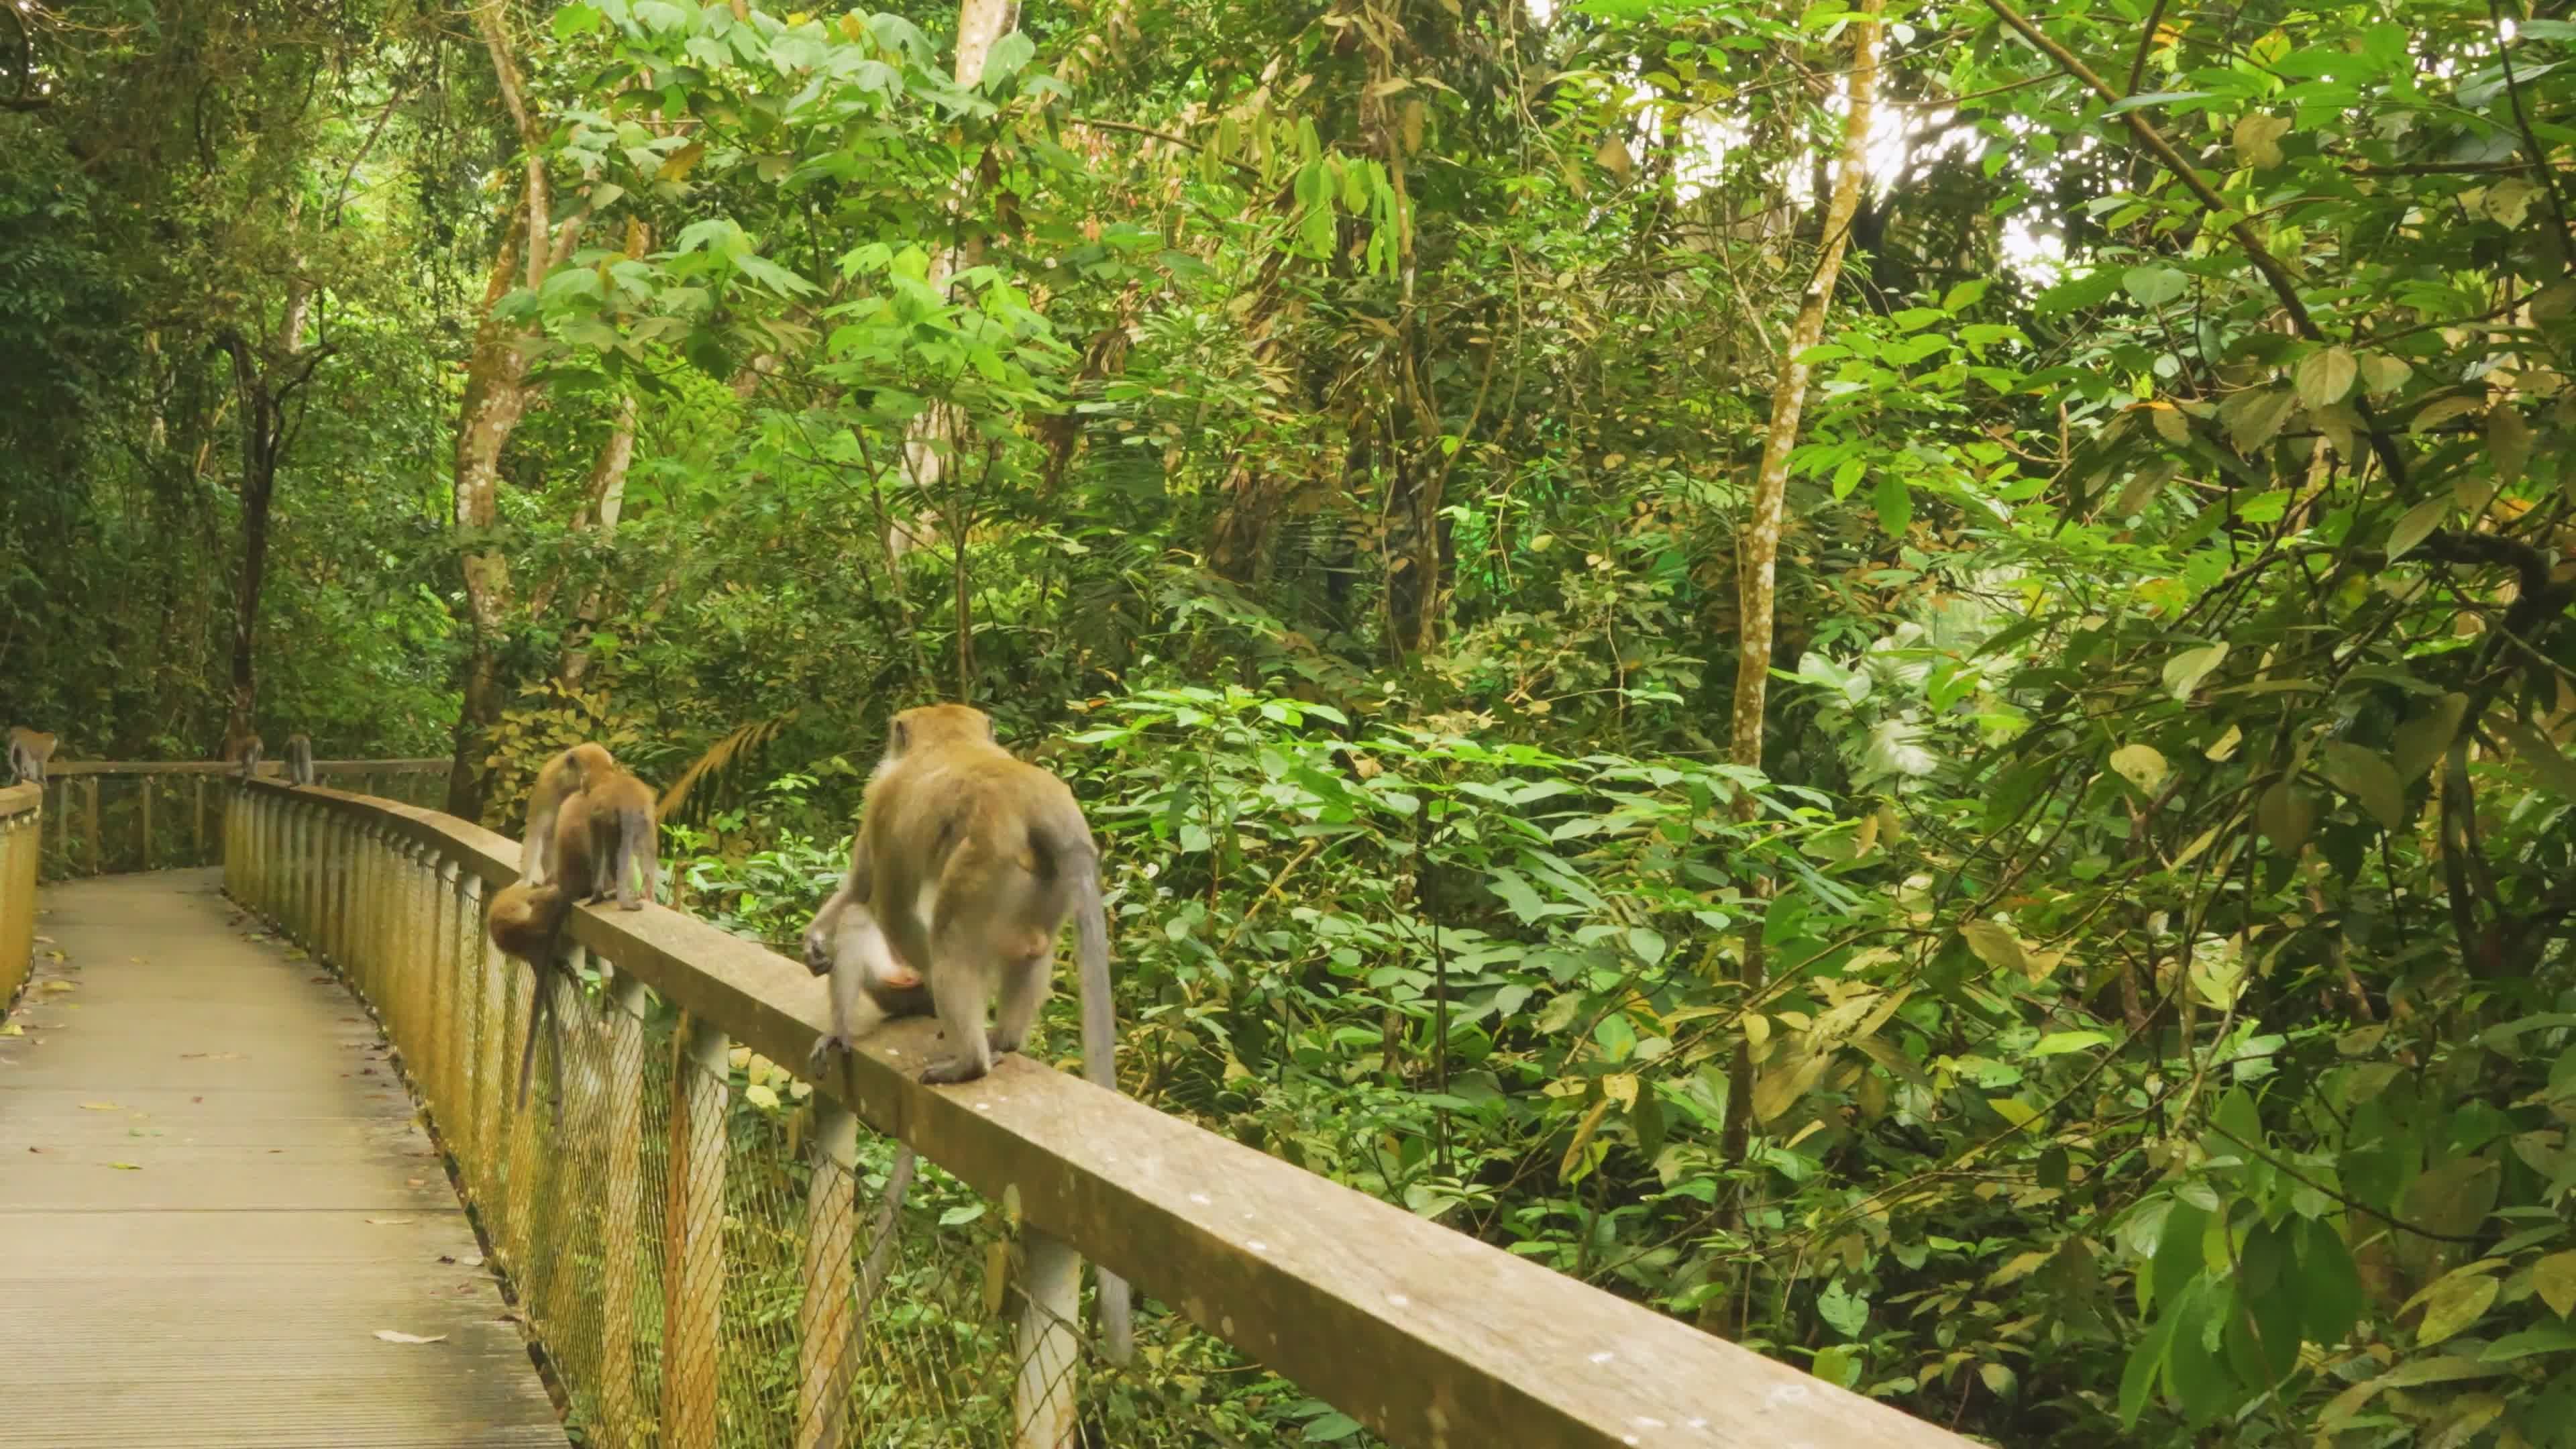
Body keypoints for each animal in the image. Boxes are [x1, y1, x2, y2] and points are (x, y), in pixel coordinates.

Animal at [799, 702, 1132, 1362]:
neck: (950, 744)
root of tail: (1040, 802)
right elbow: (862, 888)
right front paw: (814, 942)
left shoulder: (882, 802)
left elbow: (874, 891)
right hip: (1039, 891)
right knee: (1030, 954)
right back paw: (1001, 1042)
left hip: (987, 873)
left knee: (943, 943)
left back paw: (962, 1055)